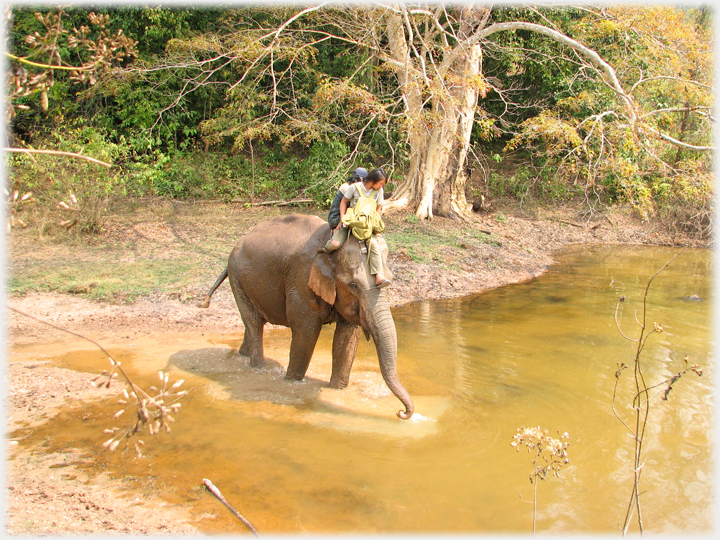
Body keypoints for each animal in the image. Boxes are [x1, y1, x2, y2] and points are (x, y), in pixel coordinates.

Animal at [197, 213, 414, 420]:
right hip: (237, 277)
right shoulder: (301, 279)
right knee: (254, 323)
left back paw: (243, 356)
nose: (401, 413)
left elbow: (346, 340)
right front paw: (291, 383)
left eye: (391, 280)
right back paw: (257, 368)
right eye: (353, 285)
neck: (331, 242)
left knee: (251, 325)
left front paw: (338, 391)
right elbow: (306, 333)